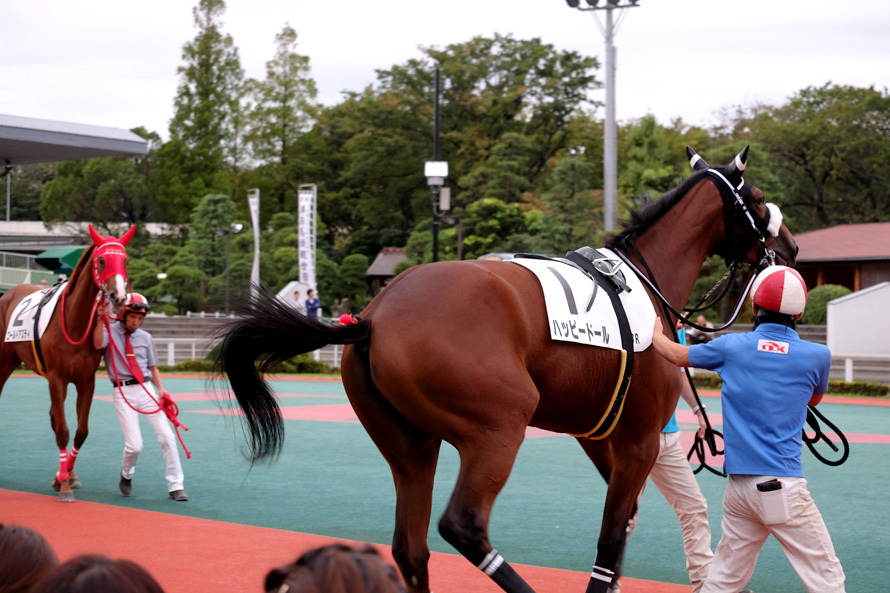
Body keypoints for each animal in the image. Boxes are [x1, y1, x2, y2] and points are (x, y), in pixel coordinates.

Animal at [0, 225, 134, 502]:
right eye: (102, 260)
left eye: (125, 260)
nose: (118, 296)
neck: (74, 320)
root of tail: (8, 293)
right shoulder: (57, 378)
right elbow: (62, 430)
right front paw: (63, 486)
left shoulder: (86, 380)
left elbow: (81, 431)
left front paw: (65, 476)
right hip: (4, 360)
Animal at [212, 147, 798, 593]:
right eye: (758, 199)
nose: (791, 246)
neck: (642, 282)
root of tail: (374, 316)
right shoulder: (639, 439)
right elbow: (611, 536)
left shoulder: (597, 436)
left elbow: (622, 525)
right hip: (498, 428)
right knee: (463, 526)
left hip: (410, 447)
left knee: (411, 547)